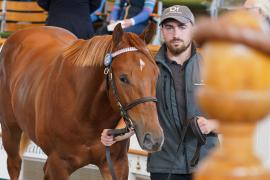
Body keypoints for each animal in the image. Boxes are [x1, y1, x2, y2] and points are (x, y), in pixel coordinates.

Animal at [0, 23, 163, 179]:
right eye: (123, 78)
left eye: (156, 74)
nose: (153, 138)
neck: (88, 115)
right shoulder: (58, 166)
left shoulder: (116, 164)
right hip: (10, 131)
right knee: (14, 164)